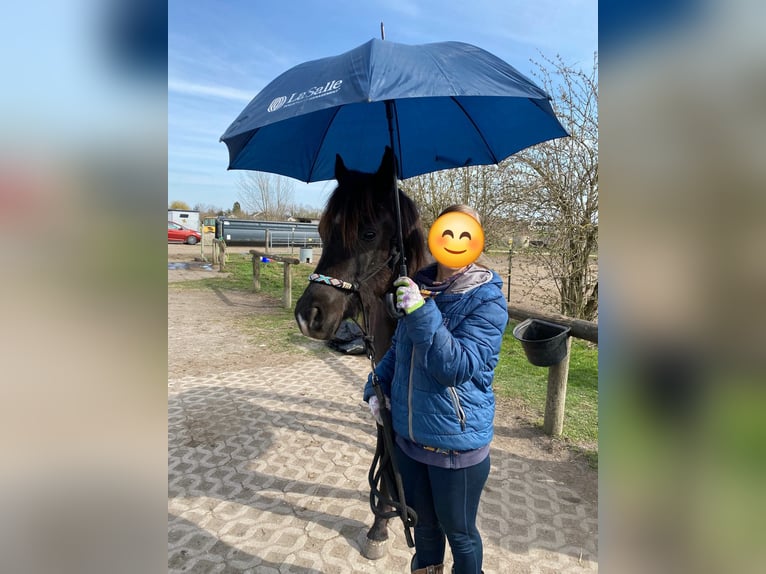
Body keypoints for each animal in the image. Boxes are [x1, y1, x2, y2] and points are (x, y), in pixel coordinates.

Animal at [294, 147, 428, 559]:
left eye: (368, 233)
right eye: (321, 233)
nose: (308, 316)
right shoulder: (383, 391)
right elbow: (387, 448)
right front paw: (383, 521)